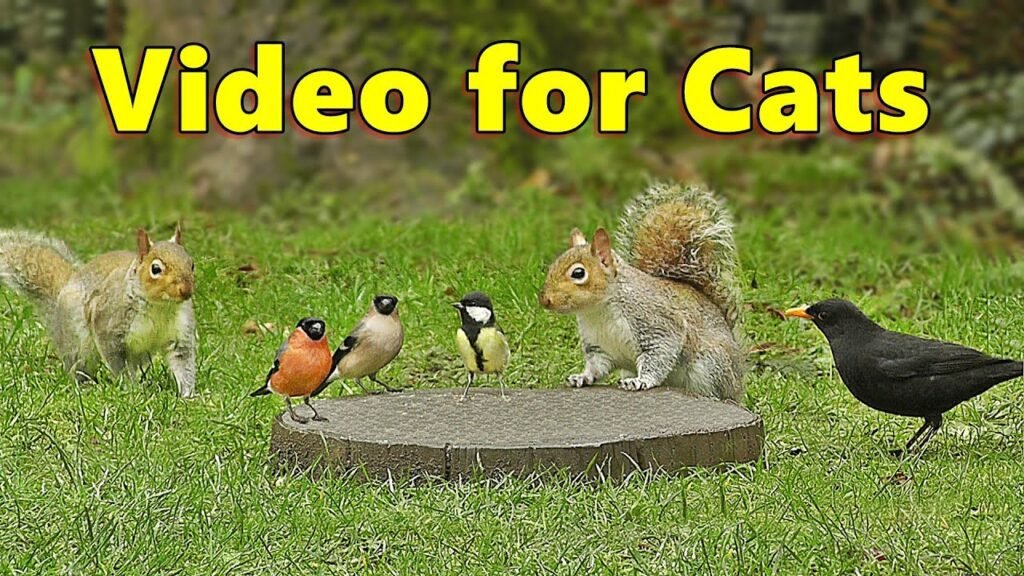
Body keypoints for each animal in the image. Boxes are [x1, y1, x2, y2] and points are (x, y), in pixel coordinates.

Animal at [0, 226, 197, 397]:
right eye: (155, 269)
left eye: (192, 264)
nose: (186, 290)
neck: (160, 307)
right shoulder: (109, 326)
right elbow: (118, 363)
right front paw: (132, 388)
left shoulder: (181, 332)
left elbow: (183, 361)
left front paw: (188, 395)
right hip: (77, 342)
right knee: (79, 366)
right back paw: (86, 385)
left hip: (141, 354)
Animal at [539, 182, 745, 401]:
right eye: (552, 266)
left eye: (578, 273)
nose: (545, 300)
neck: (599, 310)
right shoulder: (599, 346)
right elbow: (596, 367)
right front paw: (582, 377)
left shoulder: (656, 322)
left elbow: (660, 354)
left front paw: (641, 381)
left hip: (711, 365)